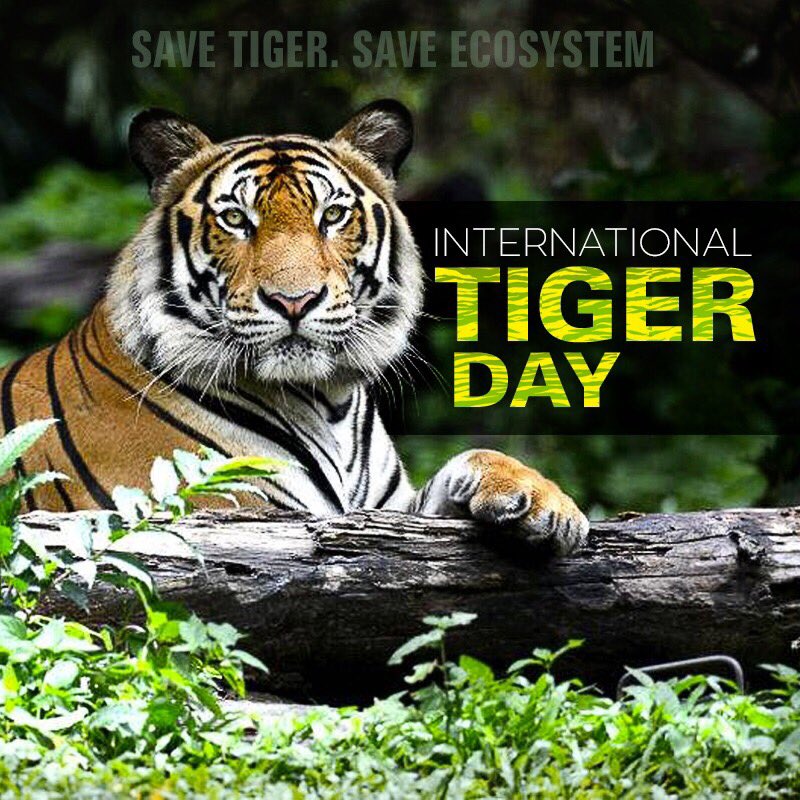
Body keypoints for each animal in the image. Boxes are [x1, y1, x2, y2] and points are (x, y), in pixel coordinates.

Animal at [0, 100, 588, 554]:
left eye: (332, 215)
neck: (328, 403)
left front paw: (544, 503)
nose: (294, 301)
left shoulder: (385, 513)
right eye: (235, 219)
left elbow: (471, 459)